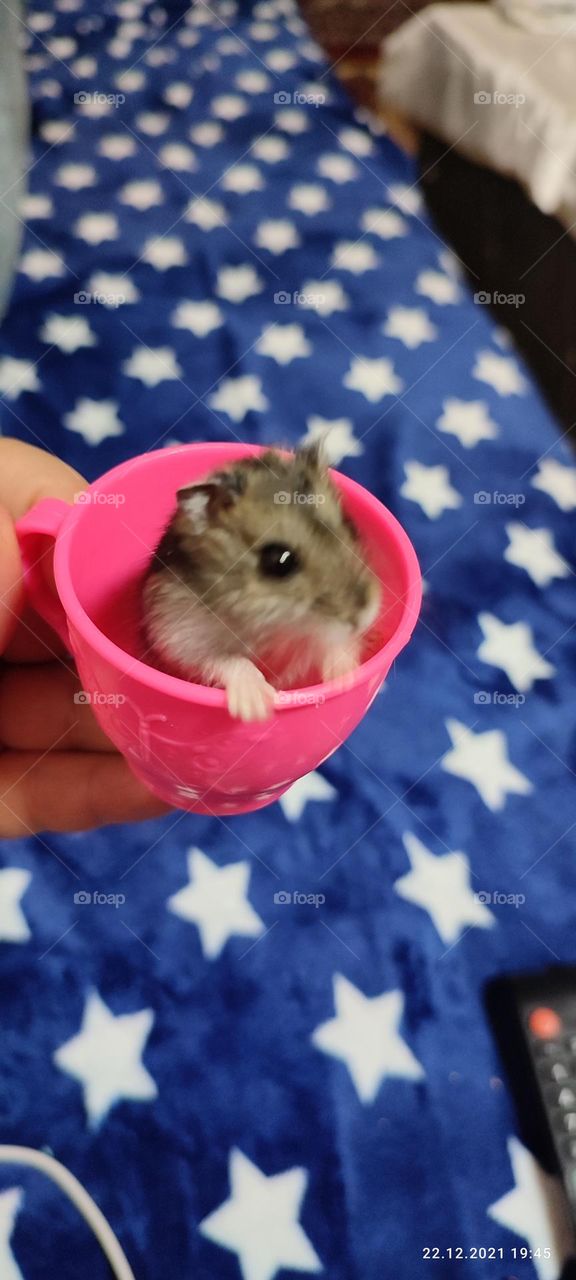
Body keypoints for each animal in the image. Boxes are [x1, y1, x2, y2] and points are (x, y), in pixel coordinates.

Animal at [142, 445, 381, 721]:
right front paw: (256, 708)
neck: (273, 627)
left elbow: (334, 645)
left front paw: (344, 678)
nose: (364, 617)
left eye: (350, 526)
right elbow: (226, 659)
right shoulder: (176, 636)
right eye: (278, 561)